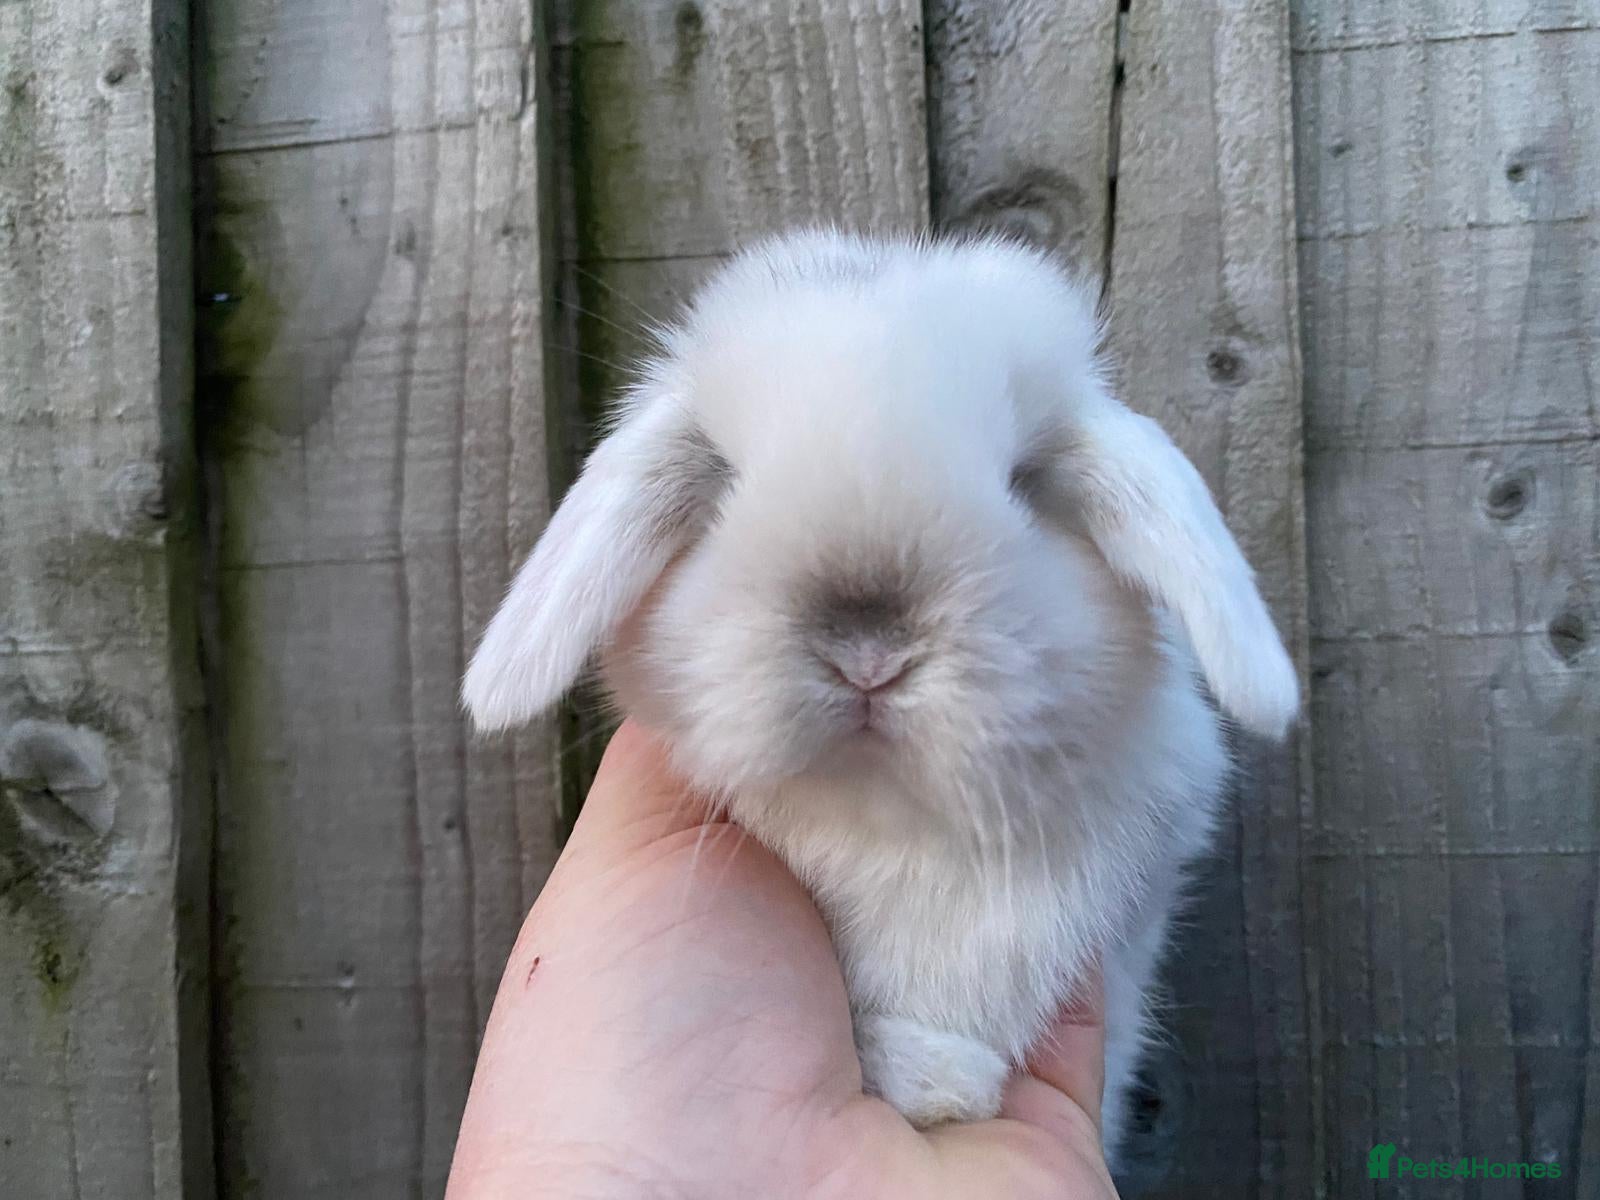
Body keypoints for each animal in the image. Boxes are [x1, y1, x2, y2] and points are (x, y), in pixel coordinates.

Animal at [462, 229, 1298, 1163]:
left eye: (1025, 482)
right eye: (725, 480)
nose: (867, 651)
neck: (892, 821)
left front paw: (936, 1079)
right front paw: (928, 1077)